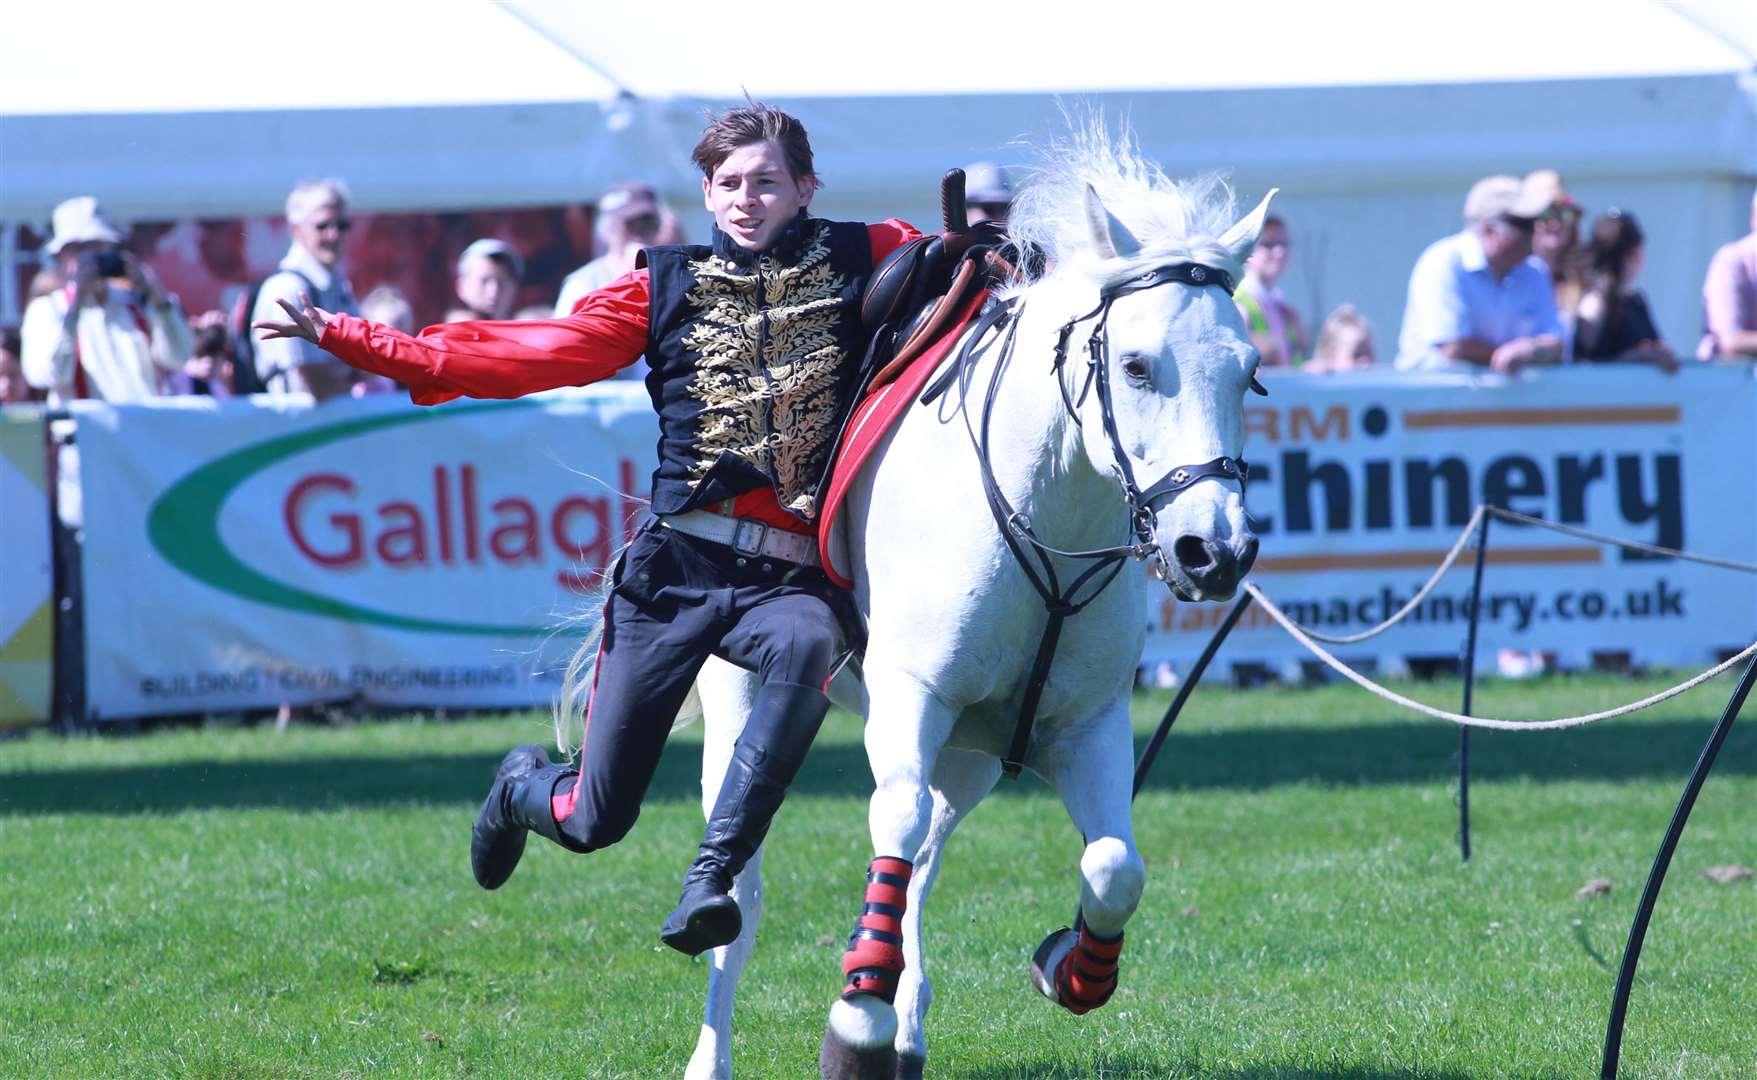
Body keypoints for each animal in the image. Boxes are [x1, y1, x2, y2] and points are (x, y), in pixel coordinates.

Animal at [678, 133, 1272, 1080]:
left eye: (1249, 376)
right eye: (1137, 365)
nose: (1211, 551)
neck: (1044, 516)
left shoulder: (1085, 728)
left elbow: (1115, 867)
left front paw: (1073, 968)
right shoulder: (911, 702)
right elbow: (892, 818)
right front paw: (855, 1020)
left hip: (972, 754)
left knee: (927, 854)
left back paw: (909, 1024)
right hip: (743, 704)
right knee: (750, 885)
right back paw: (725, 1050)